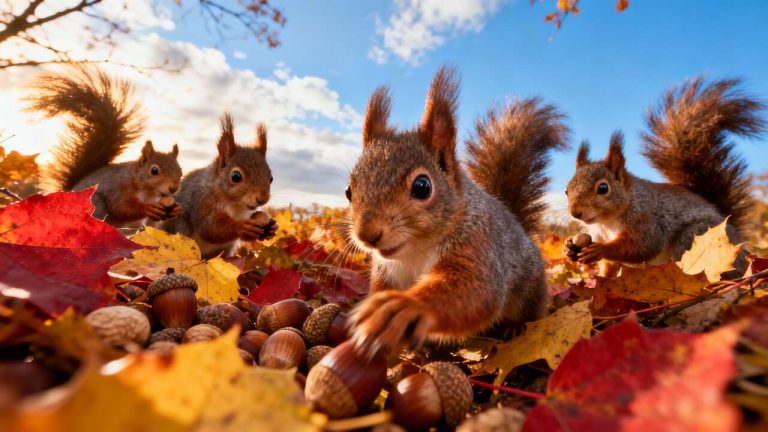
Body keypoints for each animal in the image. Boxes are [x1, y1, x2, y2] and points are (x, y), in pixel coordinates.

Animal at [25, 67, 182, 227]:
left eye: (180, 172)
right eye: (154, 170)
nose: (173, 188)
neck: (147, 191)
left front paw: (176, 209)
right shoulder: (121, 188)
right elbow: (122, 207)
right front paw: (147, 208)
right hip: (96, 204)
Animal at [162, 113, 277, 259]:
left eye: (271, 178)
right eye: (235, 176)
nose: (262, 199)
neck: (235, 206)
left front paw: (272, 229)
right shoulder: (202, 201)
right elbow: (211, 227)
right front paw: (242, 227)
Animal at [346, 66, 570, 357]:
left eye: (422, 186)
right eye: (348, 191)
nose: (367, 234)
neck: (414, 252)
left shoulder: (477, 247)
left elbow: (477, 292)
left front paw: (405, 307)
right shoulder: (385, 273)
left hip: (530, 288)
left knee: (530, 311)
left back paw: (516, 326)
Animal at [565, 77, 766, 271]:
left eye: (603, 188)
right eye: (567, 190)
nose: (575, 213)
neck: (607, 220)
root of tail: (737, 241)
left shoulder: (646, 221)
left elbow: (642, 246)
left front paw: (600, 249)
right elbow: (608, 268)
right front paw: (569, 247)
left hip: (694, 236)